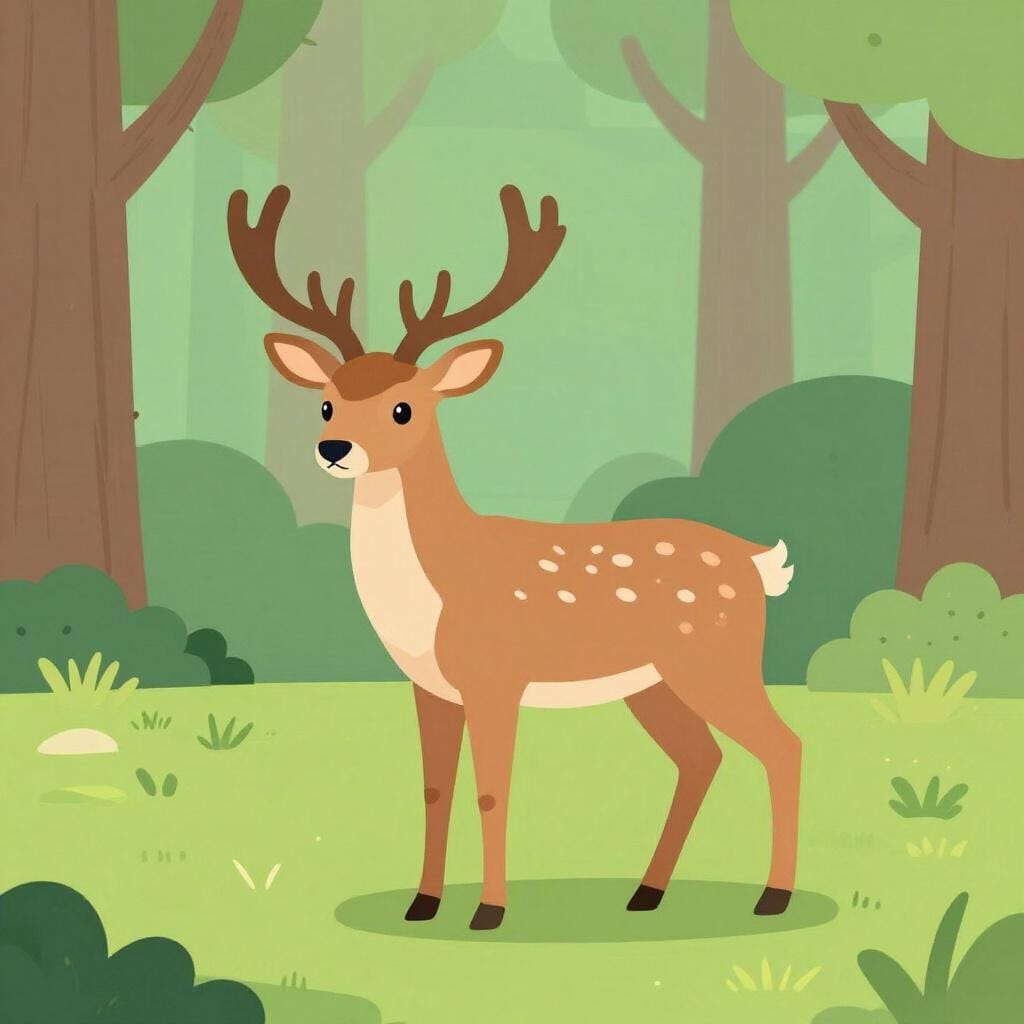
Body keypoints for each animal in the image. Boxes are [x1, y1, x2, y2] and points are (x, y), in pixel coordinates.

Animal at [227, 183, 801, 931]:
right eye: (326, 403)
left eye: (404, 408)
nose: (333, 449)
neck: (437, 587)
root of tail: (758, 562)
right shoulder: (428, 686)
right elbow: (434, 790)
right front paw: (422, 904)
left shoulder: (495, 676)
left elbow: (492, 790)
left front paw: (489, 912)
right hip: (653, 683)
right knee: (702, 758)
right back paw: (646, 893)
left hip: (716, 658)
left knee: (782, 745)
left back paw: (773, 896)